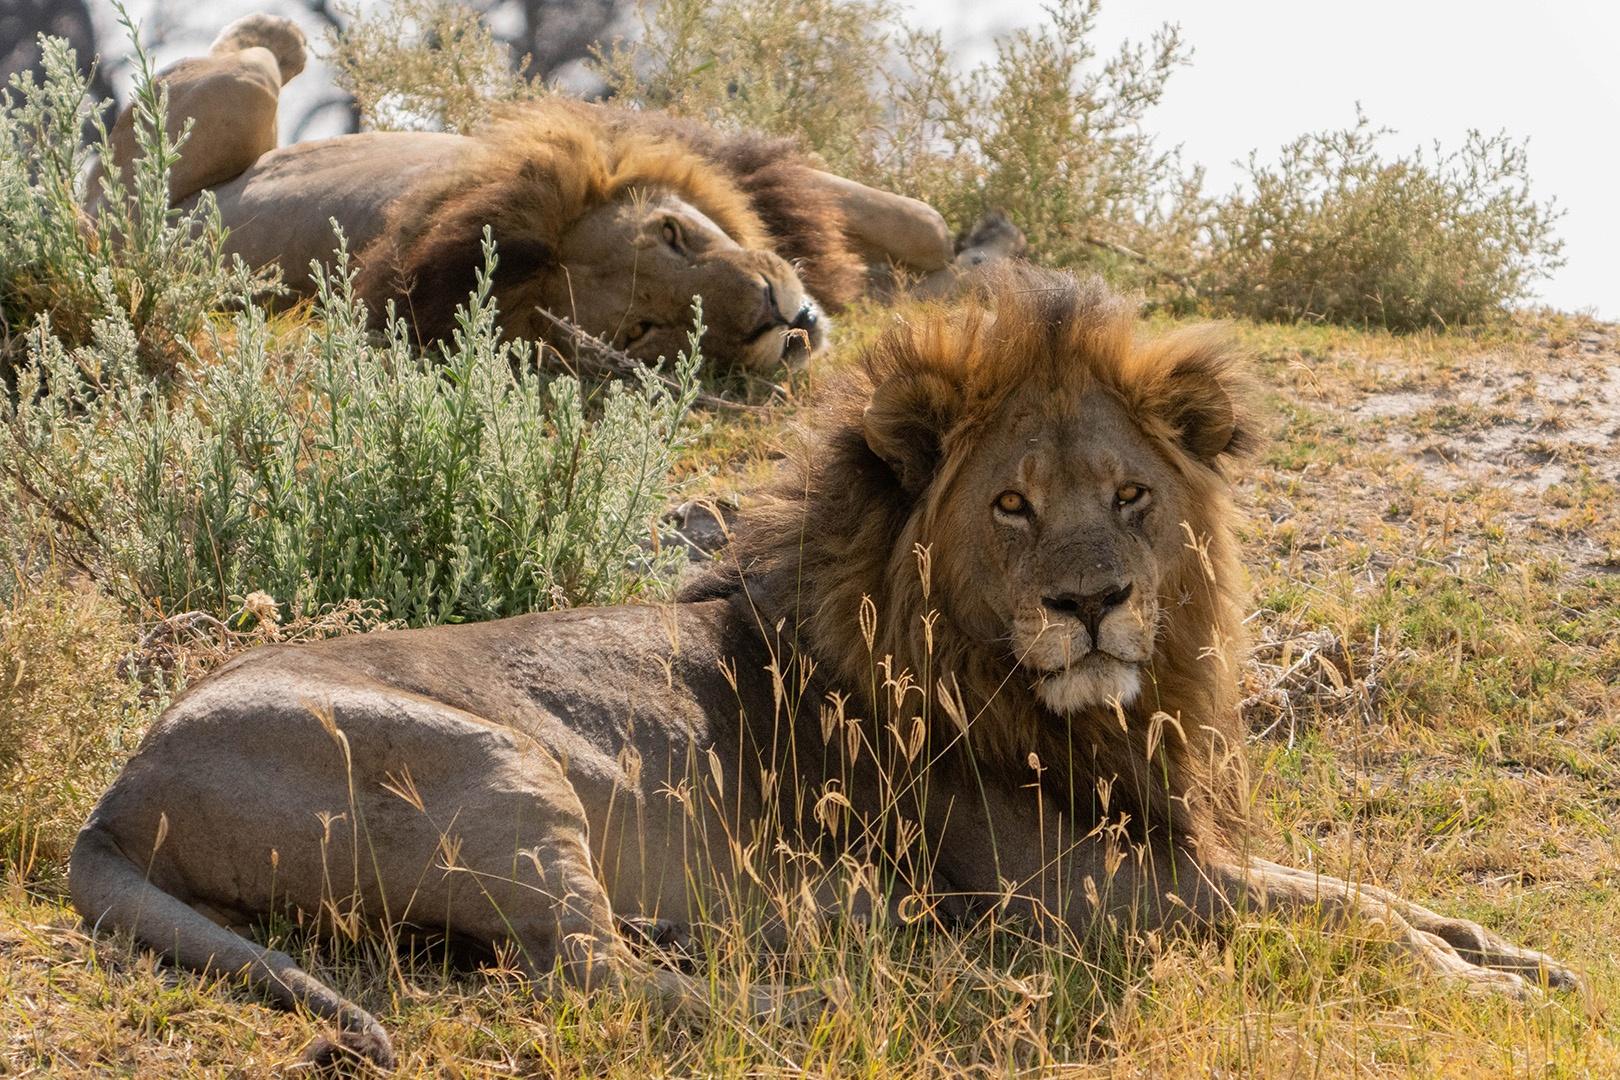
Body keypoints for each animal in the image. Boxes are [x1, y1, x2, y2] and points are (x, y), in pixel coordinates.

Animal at [69, 268, 1574, 1062]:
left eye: (1131, 496)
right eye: (1012, 506)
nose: (1094, 602)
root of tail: (110, 799)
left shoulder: (1164, 842)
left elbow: (1352, 892)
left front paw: (1506, 949)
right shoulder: (1078, 893)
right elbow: (1327, 919)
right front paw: (1483, 988)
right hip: (495, 773)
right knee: (588, 975)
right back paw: (839, 988)